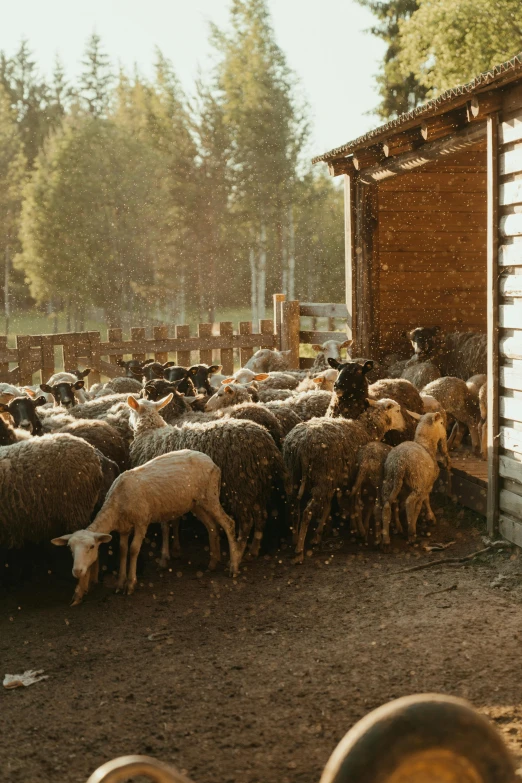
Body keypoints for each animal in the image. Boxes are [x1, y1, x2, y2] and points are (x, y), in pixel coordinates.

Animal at [51, 448, 241, 608]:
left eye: (91, 547)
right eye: (70, 549)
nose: (77, 571)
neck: (117, 503)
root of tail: (211, 461)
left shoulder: (142, 521)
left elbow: (134, 549)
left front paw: (130, 584)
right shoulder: (124, 528)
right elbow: (122, 550)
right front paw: (120, 583)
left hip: (210, 496)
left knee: (228, 524)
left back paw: (234, 567)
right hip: (196, 503)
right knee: (212, 527)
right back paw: (212, 563)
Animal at [128, 398, 286, 556]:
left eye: (130, 411)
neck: (150, 433)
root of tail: (268, 441)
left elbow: (166, 524)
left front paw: (167, 552)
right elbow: (175, 519)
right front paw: (176, 547)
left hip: (241, 485)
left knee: (247, 522)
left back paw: (239, 550)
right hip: (258, 485)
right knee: (261, 516)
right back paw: (253, 550)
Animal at [282, 398, 404, 564]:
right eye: (397, 410)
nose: (404, 426)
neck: (367, 430)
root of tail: (301, 447)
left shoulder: (337, 480)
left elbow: (329, 507)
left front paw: (318, 535)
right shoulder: (351, 477)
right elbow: (355, 504)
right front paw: (361, 531)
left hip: (294, 475)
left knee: (294, 506)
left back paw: (295, 538)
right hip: (321, 476)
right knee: (307, 512)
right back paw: (299, 551)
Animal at [378, 414, 446, 548]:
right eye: (441, 423)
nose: (445, 434)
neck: (425, 445)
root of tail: (400, 463)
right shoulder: (427, 485)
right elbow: (424, 502)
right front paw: (430, 518)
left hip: (389, 480)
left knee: (387, 506)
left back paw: (386, 540)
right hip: (416, 482)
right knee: (409, 502)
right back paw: (411, 533)